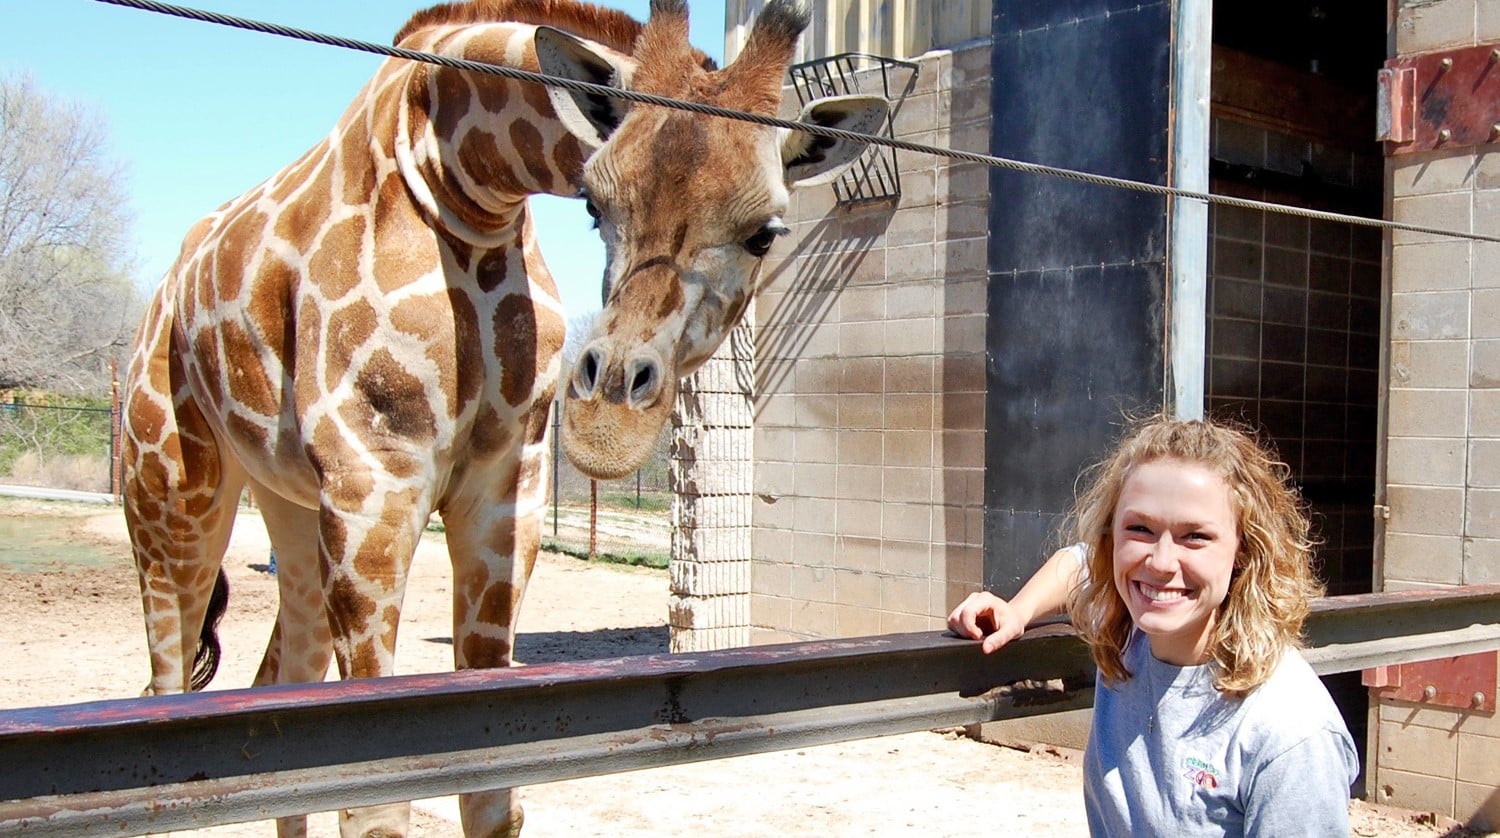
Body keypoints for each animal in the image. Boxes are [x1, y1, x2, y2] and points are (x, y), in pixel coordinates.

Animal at [123, 1, 882, 838]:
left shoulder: (500, 496)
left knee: (275, 685)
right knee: (168, 685)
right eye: (592, 205)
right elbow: (375, 804)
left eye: (765, 232)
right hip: (173, 495)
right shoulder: (371, 487)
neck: (463, 183)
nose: (606, 424)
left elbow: (490, 793)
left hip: (286, 506)